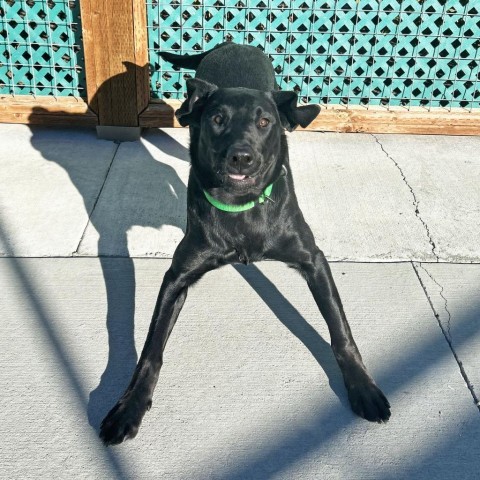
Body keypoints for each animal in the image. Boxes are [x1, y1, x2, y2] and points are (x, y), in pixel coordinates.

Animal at [100, 43, 390, 444]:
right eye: (218, 119)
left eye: (264, 122)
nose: (241, 156)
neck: (241, 206)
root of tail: (230, 45)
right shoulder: (177, 275)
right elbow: (151, 349)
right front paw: (129, 406)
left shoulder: (313, 260)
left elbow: (341, 331)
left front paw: (363, 387)